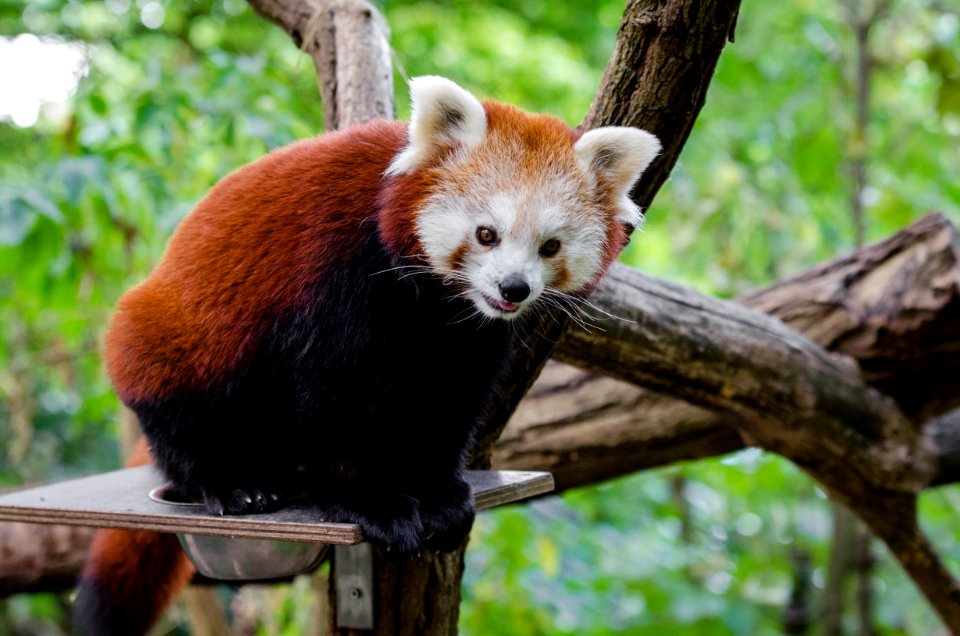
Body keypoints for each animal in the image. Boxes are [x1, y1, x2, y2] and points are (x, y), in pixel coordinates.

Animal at [75, 77, 660, 632]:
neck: (433, 303)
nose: (513, 289)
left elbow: (450, 403)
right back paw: (233, 481)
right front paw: (371, 503)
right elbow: (338, 396)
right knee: (186, 420)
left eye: (550, 246)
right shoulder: (341, 277)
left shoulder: (470, 335)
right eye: (486, 234)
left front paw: (438, 493)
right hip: (171, 345)